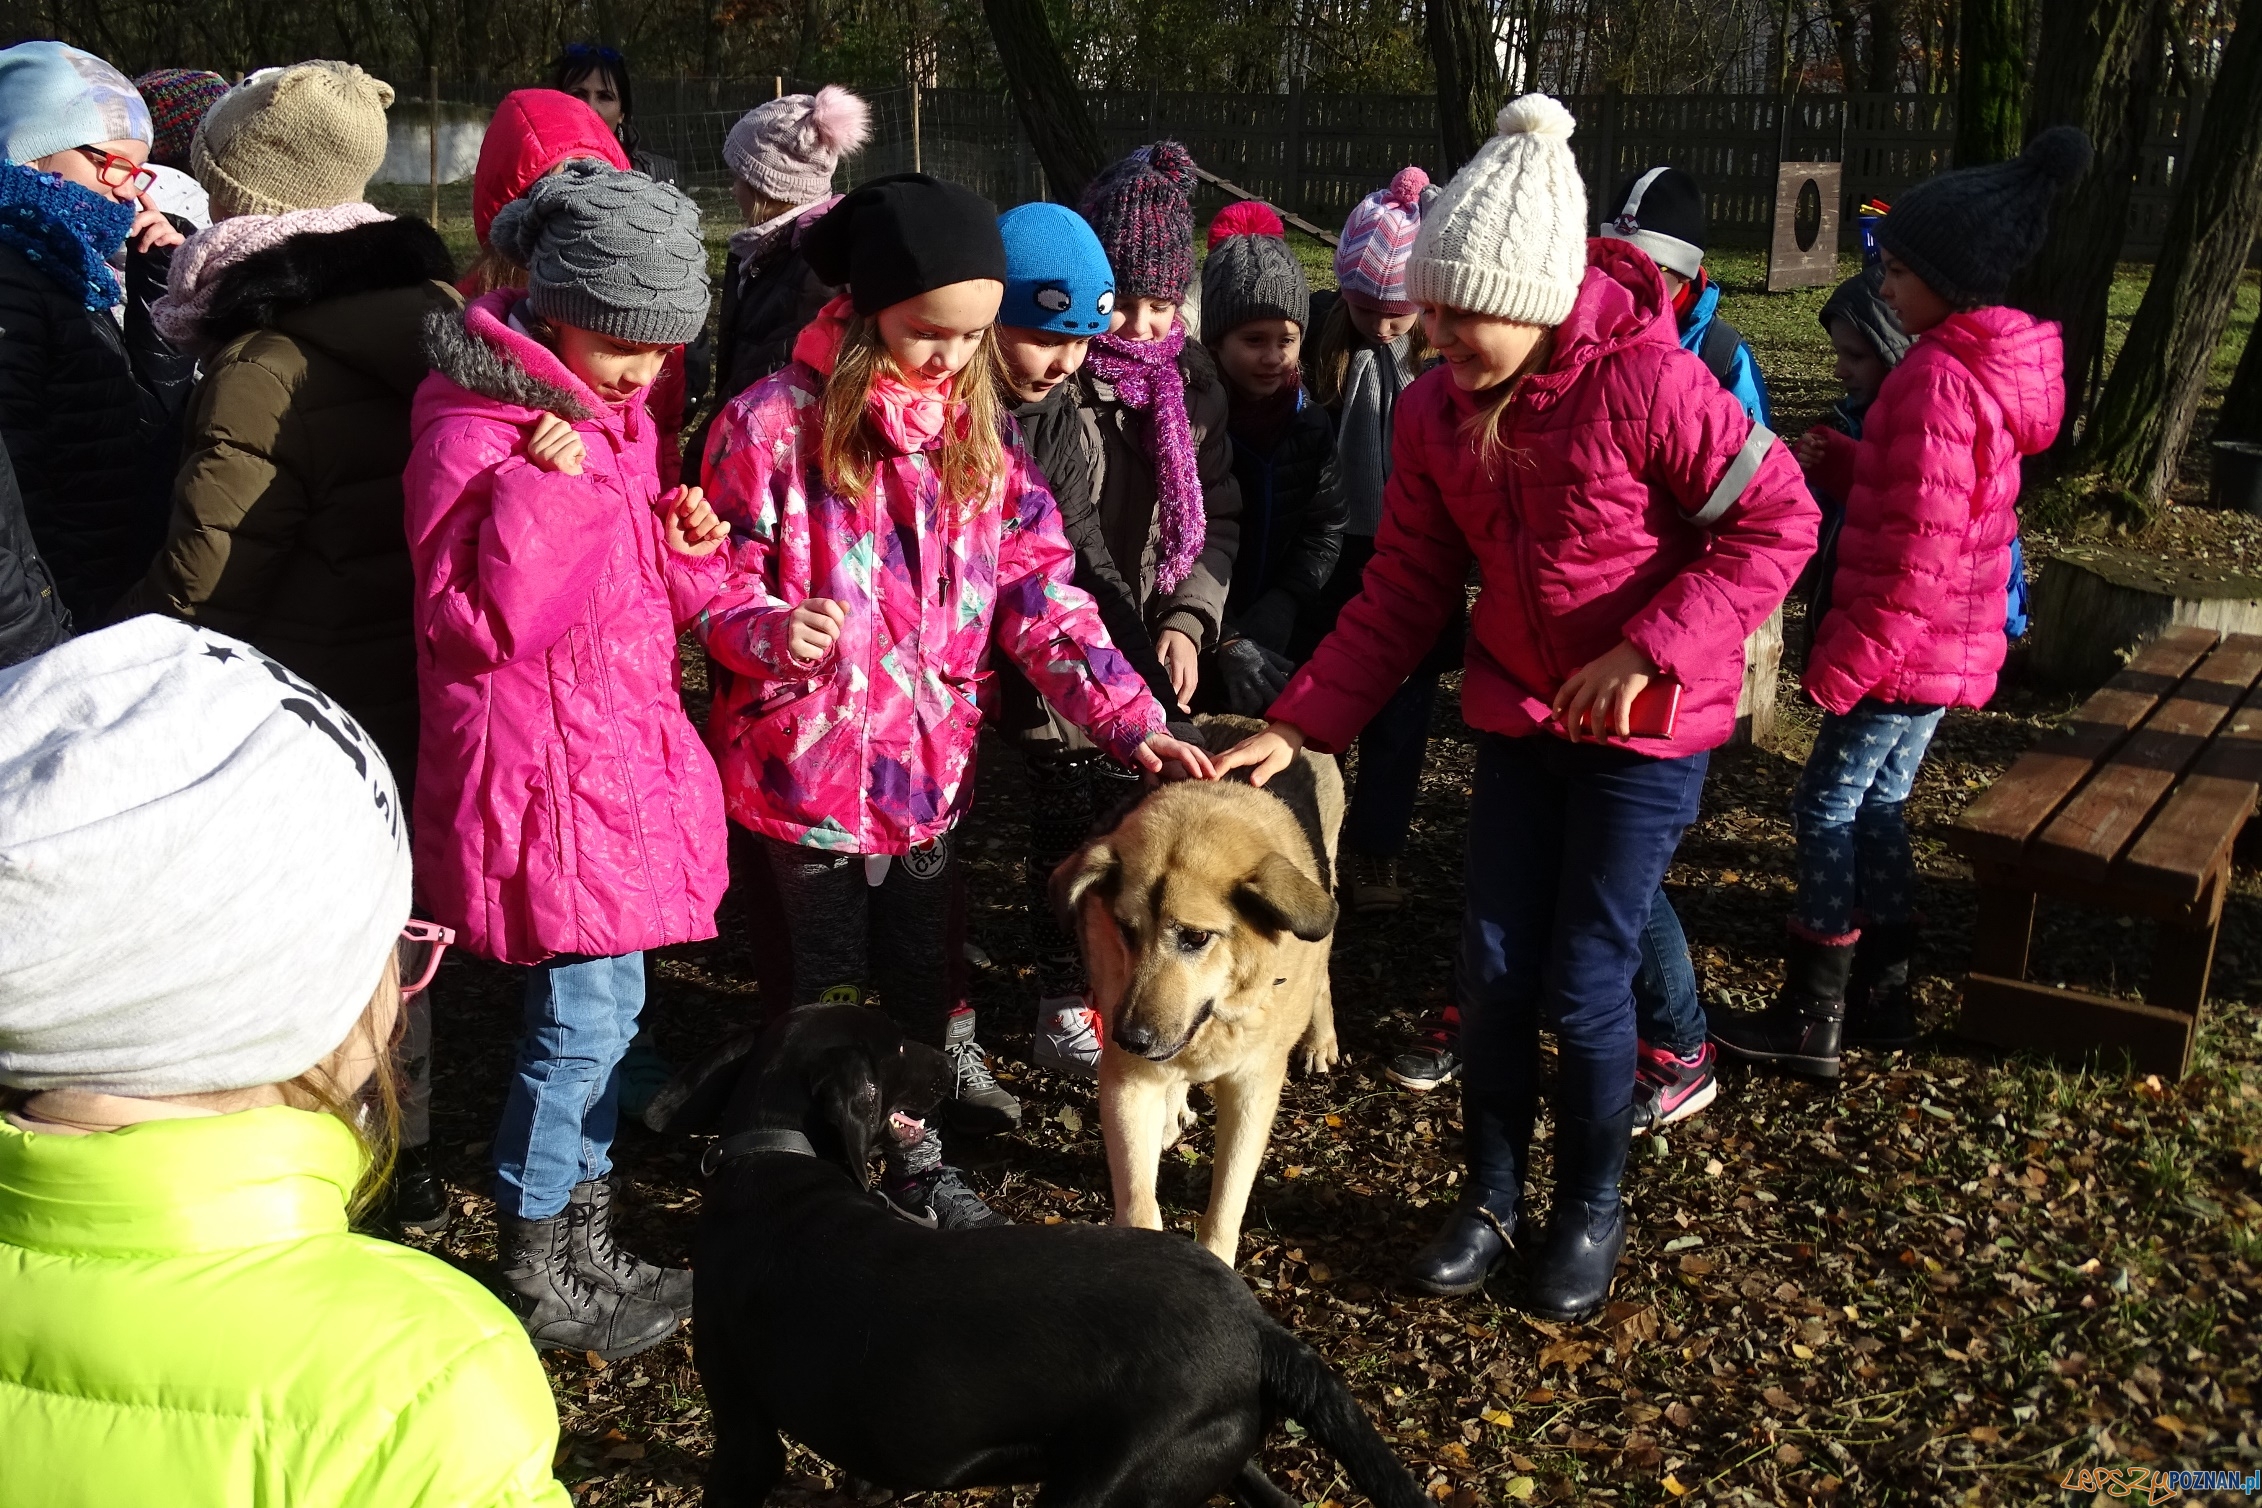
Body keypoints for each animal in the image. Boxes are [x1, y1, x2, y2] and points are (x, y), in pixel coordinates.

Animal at [655, 1003, 1420, 1508]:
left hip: (1100, 1489)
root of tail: (1263, 1333)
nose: (948, 1061)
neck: (773, 1161)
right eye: (896, 1050)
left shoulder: (745, 1438)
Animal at [1045, 718, 1330, 1266]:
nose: (1129, 1038)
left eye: (1196, 938)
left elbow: (1226, 1204)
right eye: (1125, 930)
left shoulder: (1252, 1089)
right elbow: (1139, 1202)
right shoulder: (1126, 1083)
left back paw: (1322, 1040)